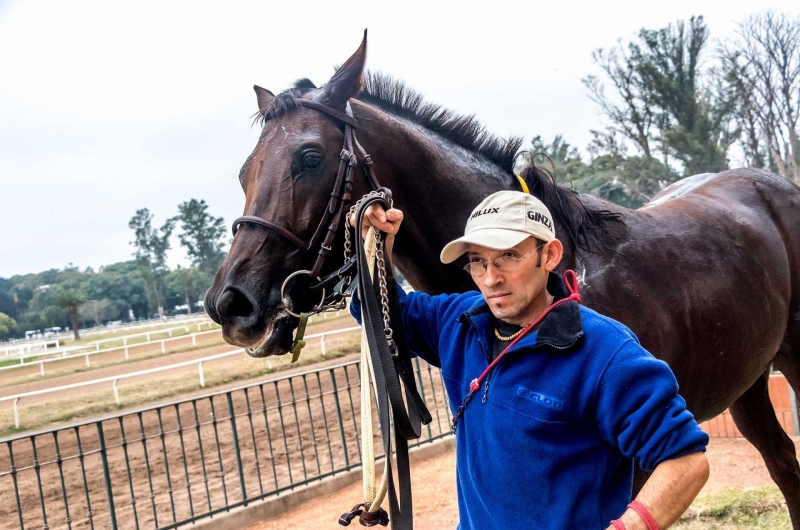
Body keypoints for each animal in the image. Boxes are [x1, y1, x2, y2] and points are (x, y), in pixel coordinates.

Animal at [205, 36, 800, 524]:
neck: (560, 270)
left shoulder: (638, 462)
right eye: (245, 170)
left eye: (309, 157)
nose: (229, 303)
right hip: (747, 377)